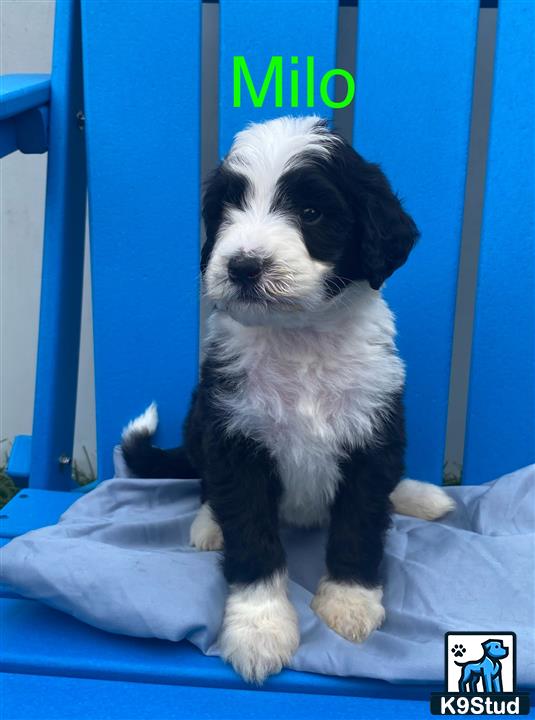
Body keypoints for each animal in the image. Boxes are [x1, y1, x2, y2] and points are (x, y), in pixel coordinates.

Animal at [122, 115, 456, 684]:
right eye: (227, 209)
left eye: (311, 212)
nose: (243, 266)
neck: (301, 338)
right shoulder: (235, 436)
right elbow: (251, 534)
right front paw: (259, 630)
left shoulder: (373, 432)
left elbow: (361, 520)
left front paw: (349, 603)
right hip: (198, 418)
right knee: (206, 482)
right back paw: (209, 524)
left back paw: (419, 495)